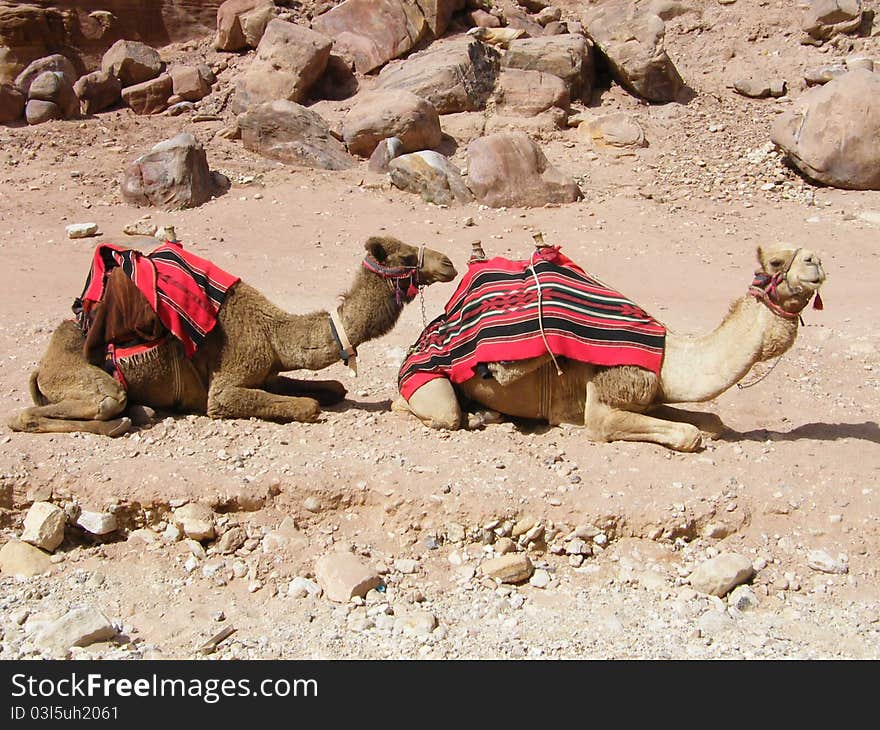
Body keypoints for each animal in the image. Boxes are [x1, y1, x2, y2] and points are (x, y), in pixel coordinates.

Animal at [6, 236, 458, 436]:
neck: (273, 333)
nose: (449, 263)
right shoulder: (226, 385)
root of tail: (42, 367)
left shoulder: (268, 370)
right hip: (81, 376)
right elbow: (307, 405)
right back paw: (123, 419)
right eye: (404, 255)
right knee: (66, 408)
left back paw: (141, 411)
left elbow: (331, 388)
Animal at [396, 245, 828, 450]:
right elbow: (688, 435)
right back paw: (474, 416)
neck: (666, 357)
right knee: (432, 410)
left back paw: (488, 414)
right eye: (776, 262)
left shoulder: (648, 395)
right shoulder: (604, 402)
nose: (816, 261)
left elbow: (712, 423)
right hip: (422, 381)